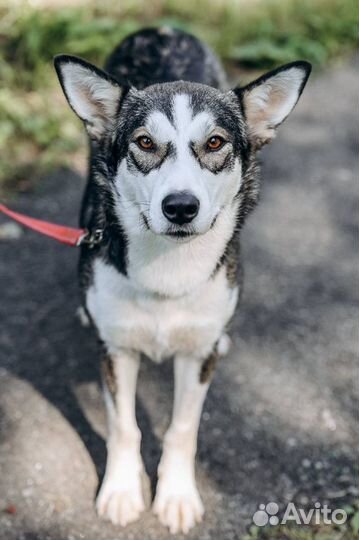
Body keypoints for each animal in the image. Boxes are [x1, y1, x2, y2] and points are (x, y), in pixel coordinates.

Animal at [54, 27, 312, 532]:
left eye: (214, 143)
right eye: (144, 143)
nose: (180, 207)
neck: (168, 268)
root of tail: (162, 28)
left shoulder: (195, 357)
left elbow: (181, 429)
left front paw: (175, 495)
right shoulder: (117, 352)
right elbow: (123, 426)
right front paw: (122, 489)